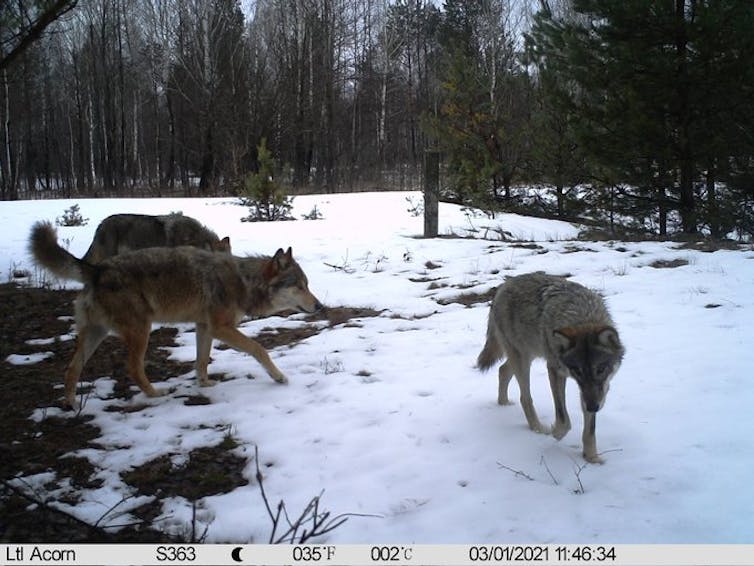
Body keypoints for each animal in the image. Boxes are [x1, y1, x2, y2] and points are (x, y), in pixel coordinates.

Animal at [29, 220, 322, 410]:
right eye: (299, 286)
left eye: (308, 284)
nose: (319, 306)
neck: (244, 281)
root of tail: (97, 269)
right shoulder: (221, 327)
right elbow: (259, 349)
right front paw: (279, 377)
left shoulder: (204, 327)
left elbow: (202, 361)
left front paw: (204, 385)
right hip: (141, 330)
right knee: (132, 368)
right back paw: (155, 394)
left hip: (97, 333)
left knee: (71, 368)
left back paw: (71, 405)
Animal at [476, 272, 624, 464]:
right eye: (577, 371)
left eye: (600, 369)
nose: (593, 407)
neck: (582, 316)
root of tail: (503, 286)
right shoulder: (555, 370)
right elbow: (563, 419)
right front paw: (555, 433)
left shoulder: (595, 392)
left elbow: (590, 429)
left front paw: (592, 458)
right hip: (523, 359)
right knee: (525, 397)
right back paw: (538, 428)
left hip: (527, 354)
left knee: (503, 370)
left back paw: (503, 404)